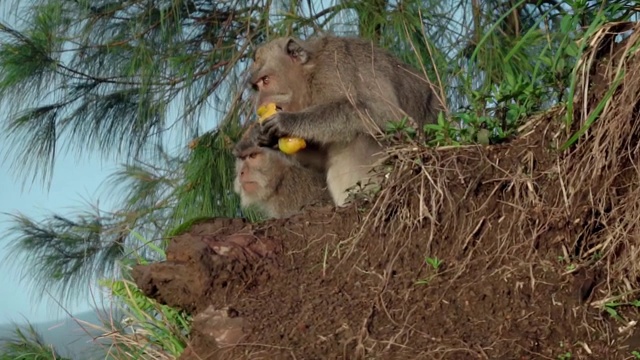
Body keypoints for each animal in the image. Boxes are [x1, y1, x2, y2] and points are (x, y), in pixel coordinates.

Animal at [248, 36, 442, 207]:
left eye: (266, 80)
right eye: (256, 86)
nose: (258, 105)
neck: (310, 74)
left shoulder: (333, 71)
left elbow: (387, 116)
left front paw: (287, 122)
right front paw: (265, 137)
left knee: (361, 136)